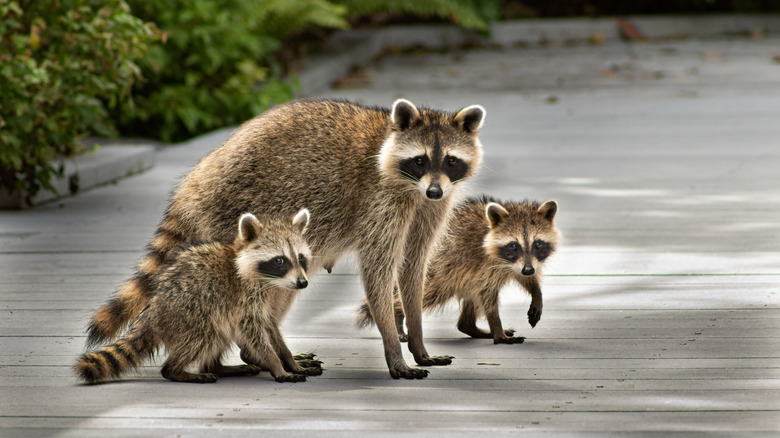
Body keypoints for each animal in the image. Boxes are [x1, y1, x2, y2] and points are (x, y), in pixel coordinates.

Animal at [75, 210, 319, 383]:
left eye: (300, 257)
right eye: (279, 260)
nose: (302, 283)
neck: (268, 281)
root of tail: (152, 310)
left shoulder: (268, 300)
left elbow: (270, 328)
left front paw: (288, 359)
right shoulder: (243, 298)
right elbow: (253, 332)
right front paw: (276, 364)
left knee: (219, 336)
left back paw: (218, 367)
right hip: (187, 313)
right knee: (206, 335)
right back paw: (176, 370)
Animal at [357, 197, 560, 344]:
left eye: (538, 244)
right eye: (513, 245)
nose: (528, 270)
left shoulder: (518, 265)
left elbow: (524, 278)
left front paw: (536, 293)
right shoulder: (485, 265)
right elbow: (488, 296)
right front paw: (496, 327)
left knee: (470, 297)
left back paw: (470, 326)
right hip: (439, 271)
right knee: (424, 294)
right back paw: (396, 314)